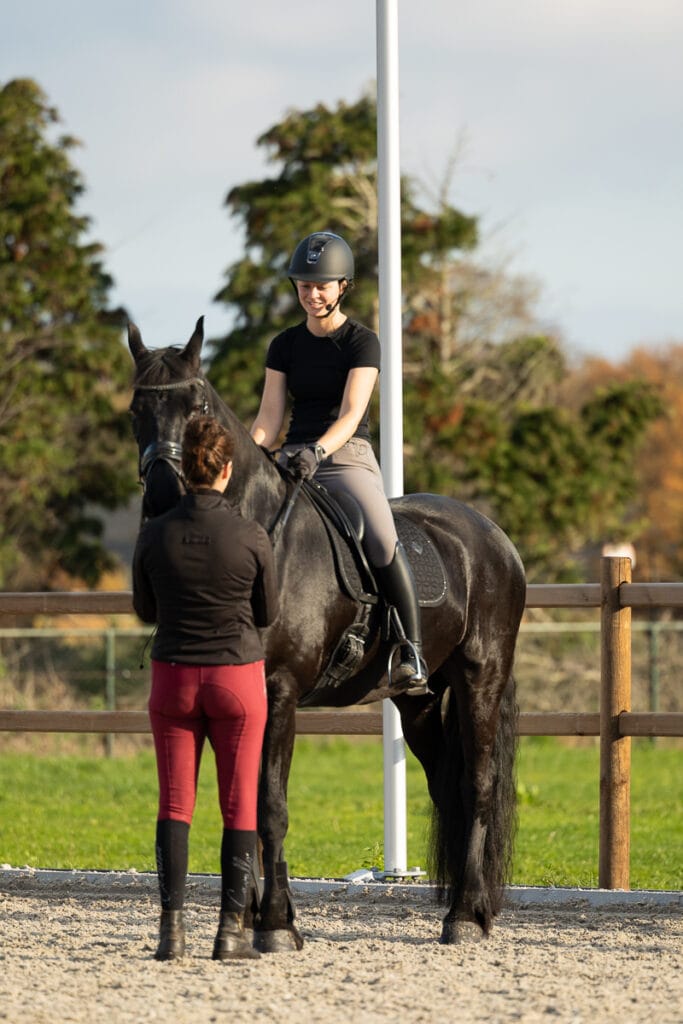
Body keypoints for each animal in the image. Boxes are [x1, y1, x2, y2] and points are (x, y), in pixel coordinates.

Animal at [128, 316, 527, 949]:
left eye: (197, 407)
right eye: (136, 409)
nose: (165, 494)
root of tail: (492, 536)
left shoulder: (281, 692)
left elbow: (270, 804)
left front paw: (273, 925)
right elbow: (242, 800)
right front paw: (259, 918)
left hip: (480, 679)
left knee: (478, 786)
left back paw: (465, 917)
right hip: (418, 701)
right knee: (447, 787)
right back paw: (472, 906)